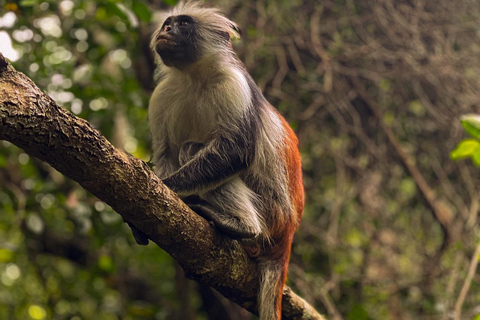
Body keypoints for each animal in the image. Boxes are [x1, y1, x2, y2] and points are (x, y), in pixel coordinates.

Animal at [146, 1, 304, 318]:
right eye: (168, 23)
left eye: (183, 24)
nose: (167, 30)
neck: (193, 77)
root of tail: (289, 230)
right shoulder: (161, 96)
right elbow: (166, 153)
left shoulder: (234, 83)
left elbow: (236, 152)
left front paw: (169, 186)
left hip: (272, 215)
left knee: (193, 149)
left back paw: (242, 226)